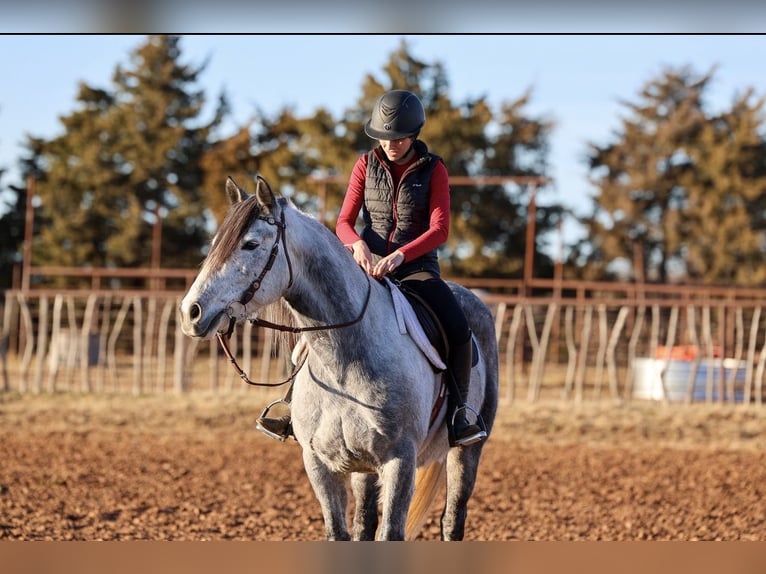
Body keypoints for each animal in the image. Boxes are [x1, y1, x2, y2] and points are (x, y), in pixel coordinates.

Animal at [178, 175, 499, 541]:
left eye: (250, 244)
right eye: (216, 242)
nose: (191, 312)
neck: (343, 364)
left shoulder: (399, 461)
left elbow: (391, 532)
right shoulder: (319, 463)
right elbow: (340, 531)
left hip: (466, 451)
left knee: (452, 518)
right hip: (363, 466)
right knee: (364, 520)